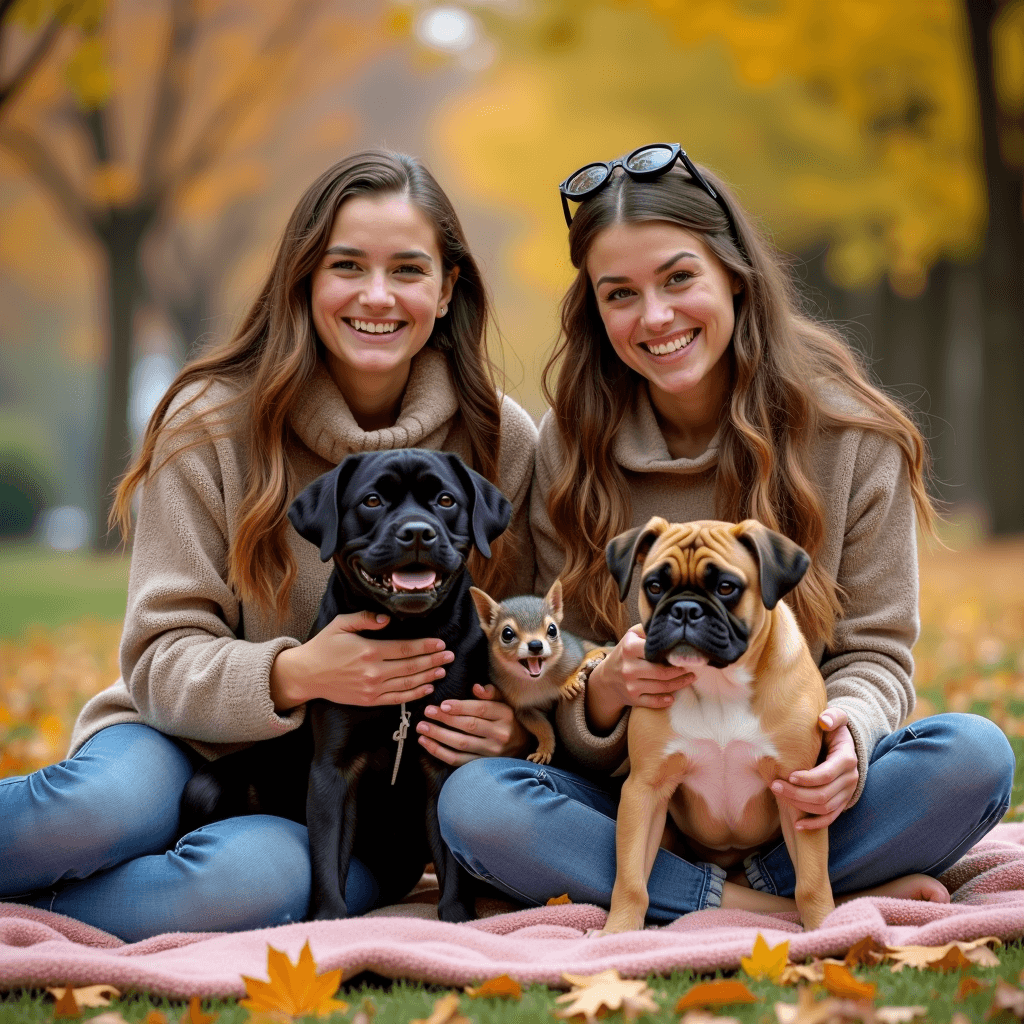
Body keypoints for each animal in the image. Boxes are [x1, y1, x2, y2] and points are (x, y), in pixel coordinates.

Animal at [182, 448, 512, 921]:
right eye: (373, 501)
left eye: (446, 500)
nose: (417, 532)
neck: (403, 631)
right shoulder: (332, 768)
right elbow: (327, 854)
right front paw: (329, 920)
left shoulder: (442, 755)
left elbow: (451, 859)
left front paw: (456, 916)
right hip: (205, 788)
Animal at [468, 581, 589, 765]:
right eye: (507, 634)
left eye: (552, 630)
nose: (535, 645)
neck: (537, 681)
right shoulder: (524, 709)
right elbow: (541, 727)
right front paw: (545, 747)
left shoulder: (574, 655)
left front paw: (570, 681)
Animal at [598, 516, 831, 933]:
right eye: (655, 586)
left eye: (726, 588)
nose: (685, 609)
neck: (717, 683)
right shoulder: (645, 791)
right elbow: (631, 879)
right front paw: (619, 933)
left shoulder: (799, 792)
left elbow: (812, 881)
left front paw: (826, 929)